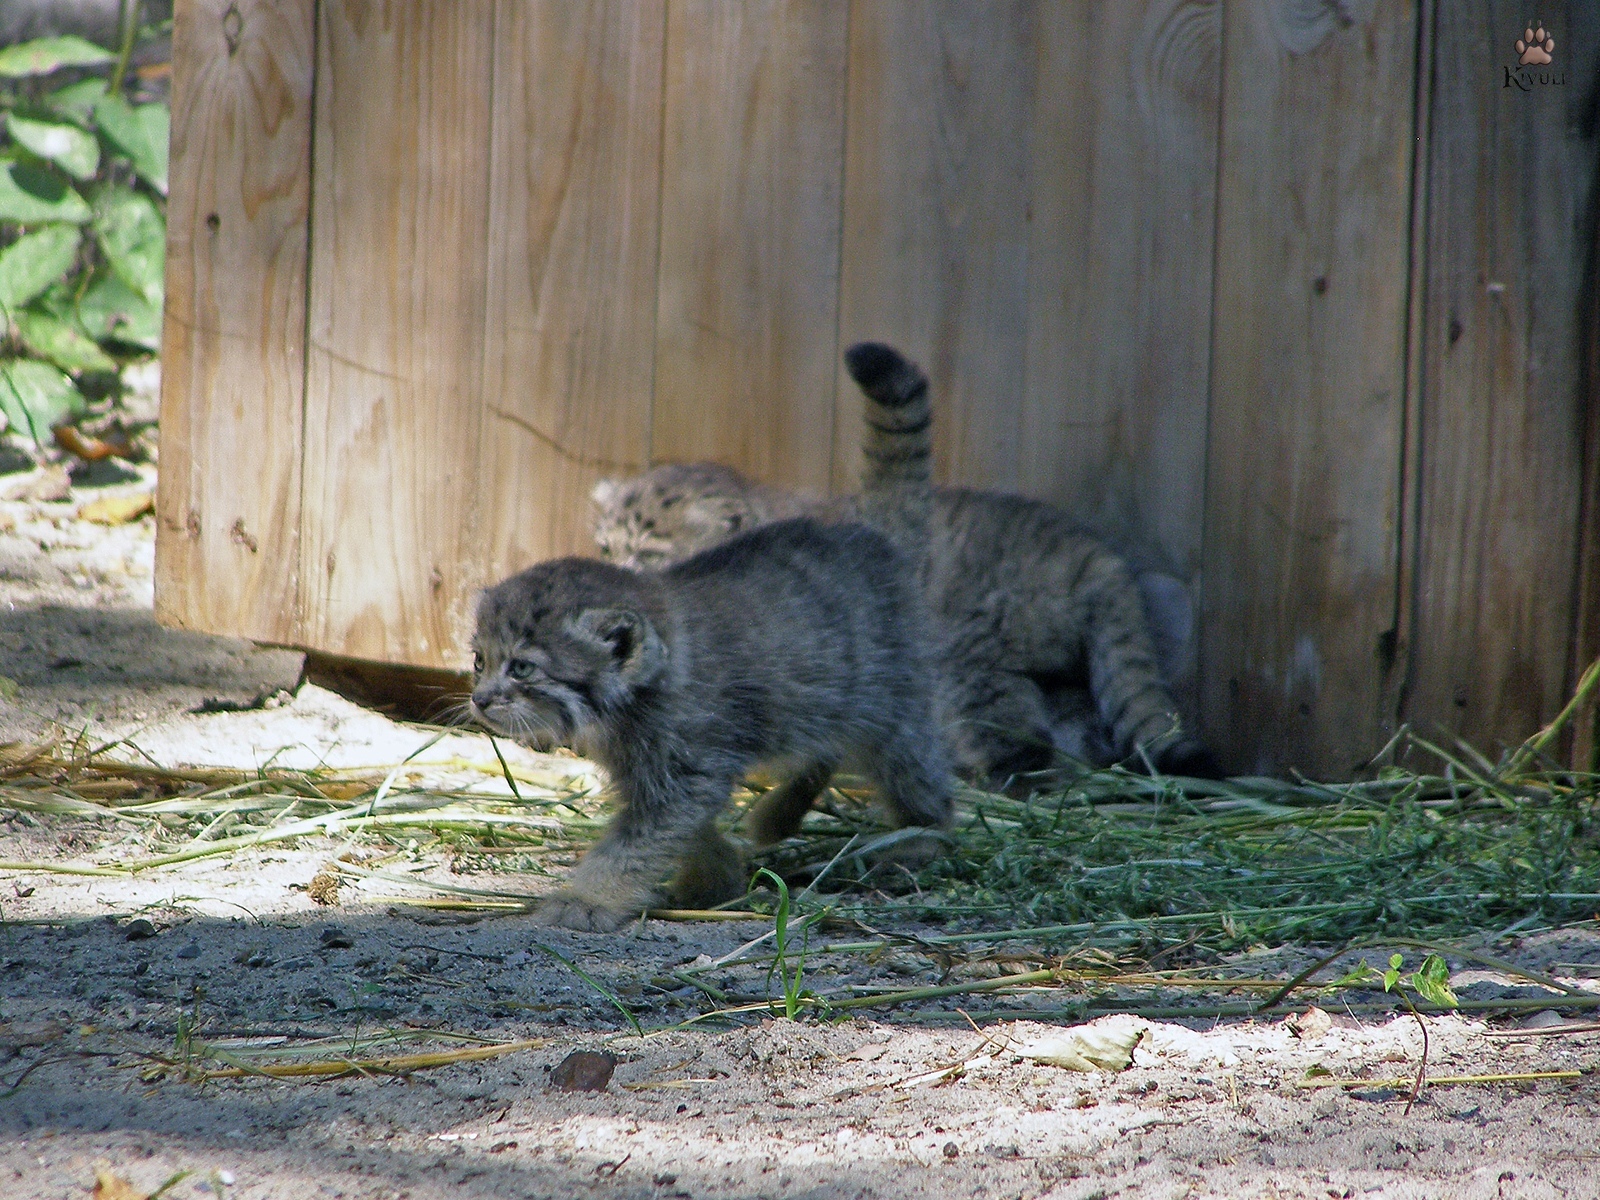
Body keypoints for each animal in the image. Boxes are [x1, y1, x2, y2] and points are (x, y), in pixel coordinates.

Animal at [470, 518, 947, 928]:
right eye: (479, 661)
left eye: (522, 668)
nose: (478, 700)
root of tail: (870, 537)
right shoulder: (650, 772)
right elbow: (682, 832)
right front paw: (716, 876)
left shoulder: (686, 772)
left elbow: (632, 846)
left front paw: (585, 899)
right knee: (822, 749)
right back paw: (778, 818)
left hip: (895, 710)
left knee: (920, 776)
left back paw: (922, 838)